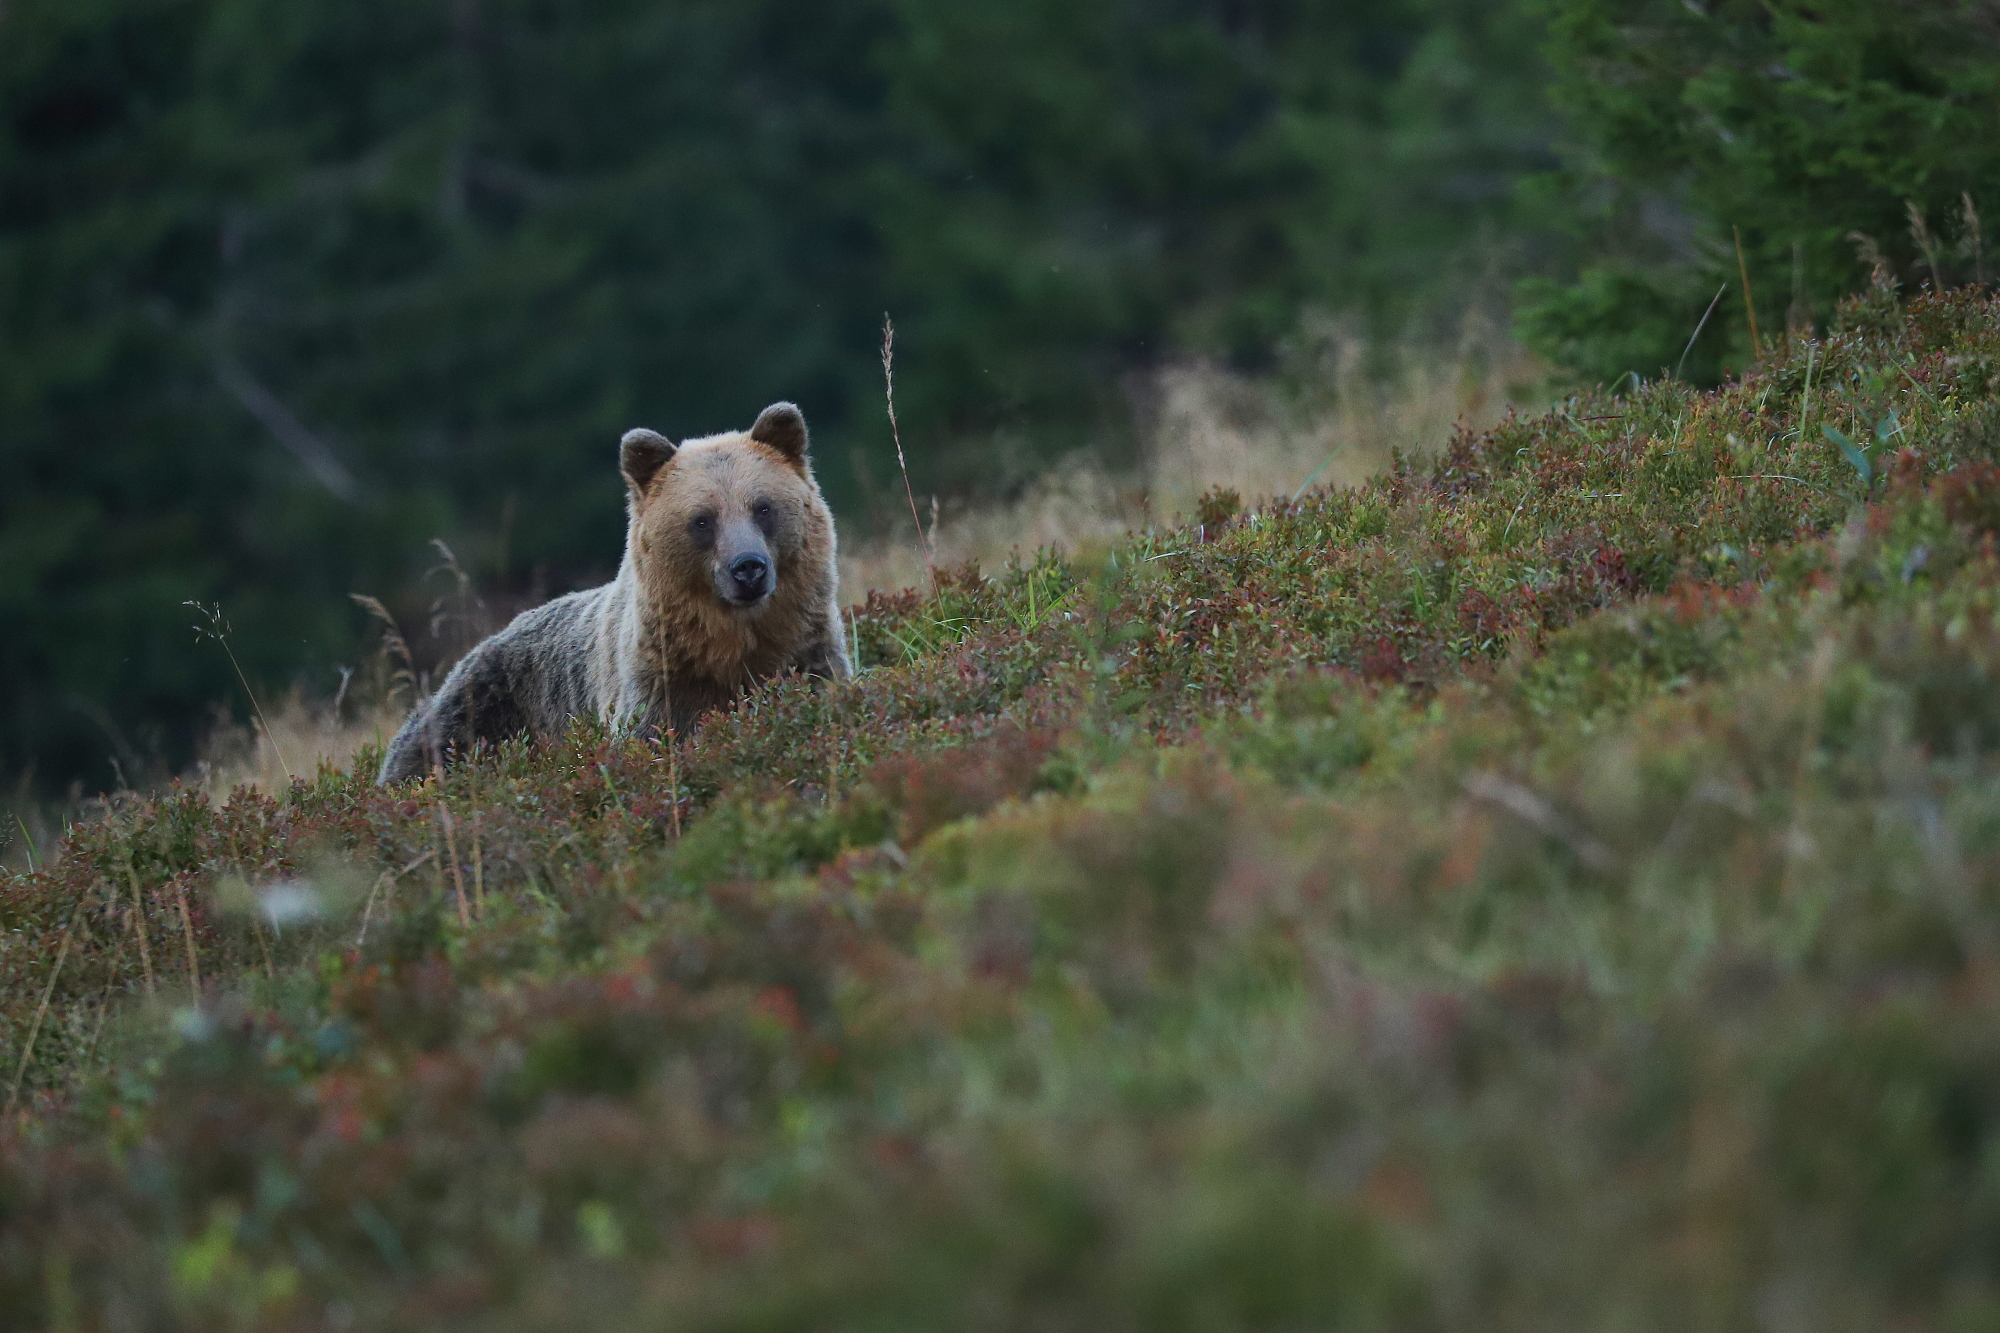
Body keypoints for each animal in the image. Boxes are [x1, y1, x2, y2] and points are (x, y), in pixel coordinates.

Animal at [378, 400, 848, 784]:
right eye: (702, 519)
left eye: (763, 507)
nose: (748, 567)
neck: (733, 640)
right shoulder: (661, 682)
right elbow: (653, 740)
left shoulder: (806, 650)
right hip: (482, 711)